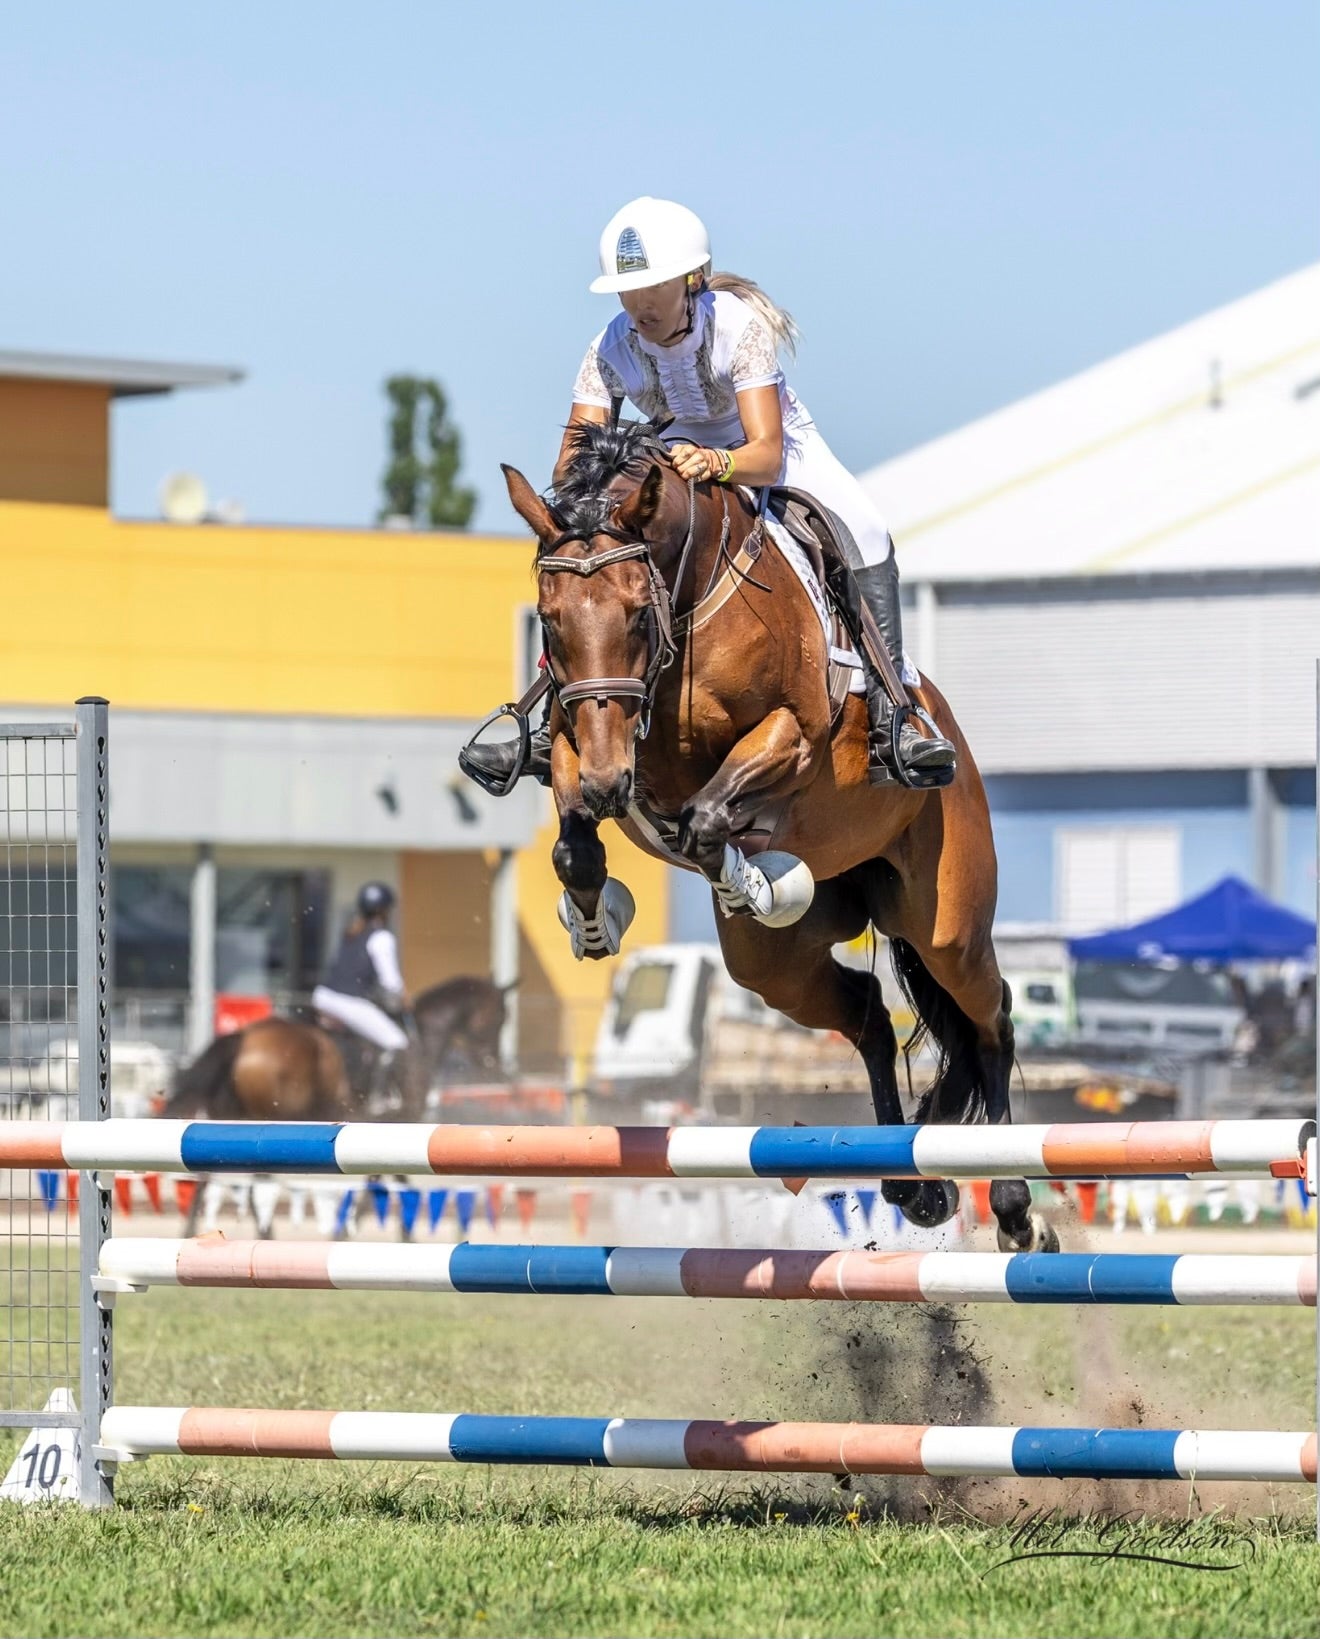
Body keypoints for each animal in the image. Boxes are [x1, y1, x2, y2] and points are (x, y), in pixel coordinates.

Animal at [500, 421, 1057, 1254]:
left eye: (635, 614)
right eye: (551, 619)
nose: (606, 785)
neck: (689, 606)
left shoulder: (788, 737)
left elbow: (704, 819)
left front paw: (754, 880)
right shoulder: (583, 738)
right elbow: (578, 842)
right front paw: (594, 919)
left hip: (946, 925)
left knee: (990, 1020)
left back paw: (1017, 1205)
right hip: (775, 969)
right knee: (867, 1010)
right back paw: (912, 1185)